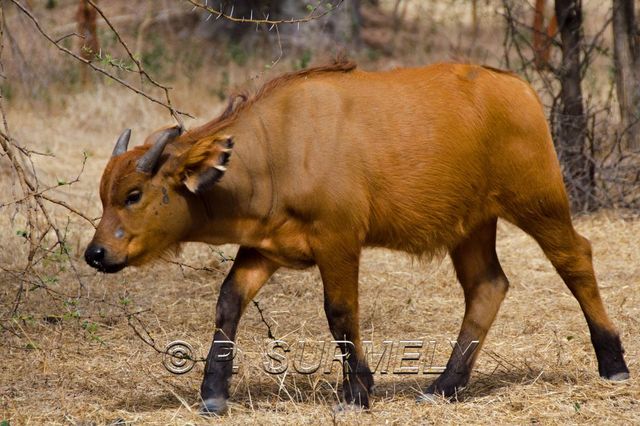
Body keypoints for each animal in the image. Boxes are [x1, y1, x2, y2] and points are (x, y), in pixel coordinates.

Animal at [85, 60, 632, 412]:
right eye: (104, 194)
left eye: (133, 194)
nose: (96, 253)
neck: (278, 152)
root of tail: (516, 88)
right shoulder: (264, 248)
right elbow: (228, 301)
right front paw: (213, 393)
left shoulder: (339, 242)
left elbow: (340, 313)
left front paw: (356, 392)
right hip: (472, 225)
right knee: (487, 286)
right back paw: (445, 385)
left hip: (538, 201)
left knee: (574, 257)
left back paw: (613, 362)